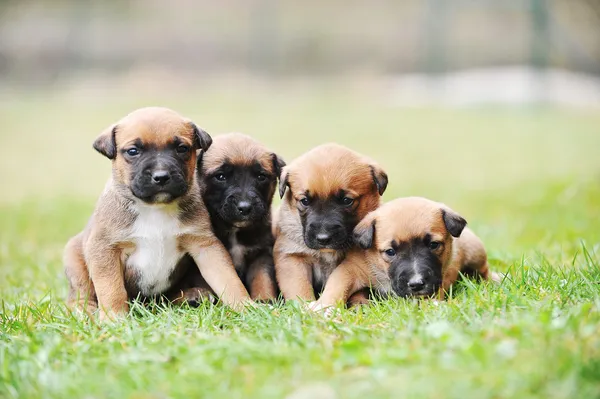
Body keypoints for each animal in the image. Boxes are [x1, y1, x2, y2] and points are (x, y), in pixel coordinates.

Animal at [64, 108, 252, 320]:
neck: (154, 208)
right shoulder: (104, 249)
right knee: (79, 294)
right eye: (133, 151)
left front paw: (246, 307)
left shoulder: (205, 246)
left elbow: (228, 279)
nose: (161, 176)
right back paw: (84, 310)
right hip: (74, 258)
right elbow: (112, 289)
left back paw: (192, 296)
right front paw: (115, 318)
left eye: (182, 149)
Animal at [195, 133, 284, 302]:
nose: (245, 207)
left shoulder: (261, 255)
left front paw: (264, 300)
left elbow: (262, 279)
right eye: (221, 176)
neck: (236, 231)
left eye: (261, 176)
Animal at [274, 144, 386, 304]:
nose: (323, 239)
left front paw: (360, 303)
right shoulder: (292, 258)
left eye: (347, 200)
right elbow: (300, 288)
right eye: (305, 201)